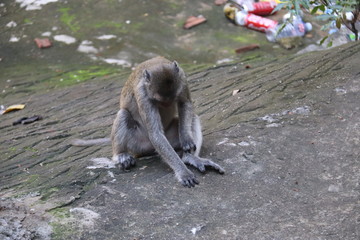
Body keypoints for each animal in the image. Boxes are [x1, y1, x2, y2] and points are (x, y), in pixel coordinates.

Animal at [72, 56, 225, 188]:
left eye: (172, 98)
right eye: (161, 101)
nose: (167, 105)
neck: (156, 63)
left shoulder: (182, 77)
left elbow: (185, 103)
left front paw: (186, 139)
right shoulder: (143, 94)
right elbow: (156, 134)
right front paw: (183, 173)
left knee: (193, 118)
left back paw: (189, 158)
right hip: (137, 145)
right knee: (123, 115)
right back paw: (120, 155)